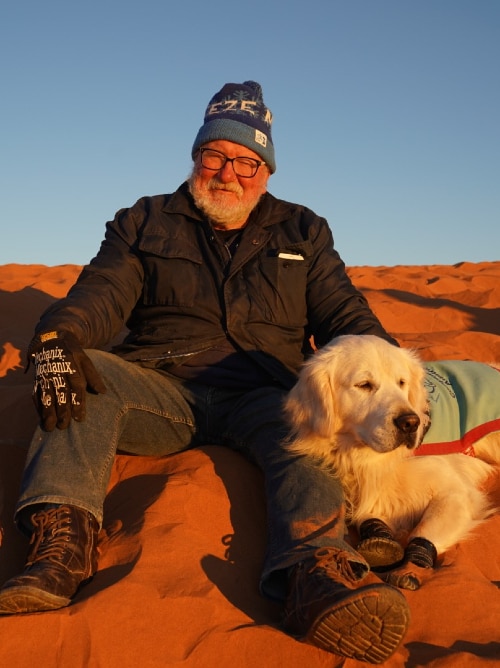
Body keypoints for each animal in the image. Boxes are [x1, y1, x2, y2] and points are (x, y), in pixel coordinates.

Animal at [286, 334, 500, 588]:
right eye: (364, 385)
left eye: (401, 383)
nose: (410, 423)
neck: (365, 456)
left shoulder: (456, 493)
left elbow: (424, 529)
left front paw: (412, 565)